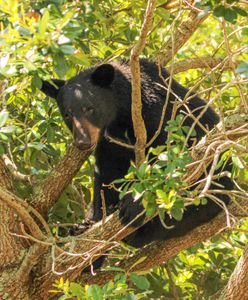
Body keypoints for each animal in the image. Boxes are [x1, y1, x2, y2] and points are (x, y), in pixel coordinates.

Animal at [40, 59, 232, 248]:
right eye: (67, 114)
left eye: (89, 108)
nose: (82, 142)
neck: (121, 116)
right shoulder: (108, 143)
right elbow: (106, 175)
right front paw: (92, 221)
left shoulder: (161, 116)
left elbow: (173, 158)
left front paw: (133, 204)